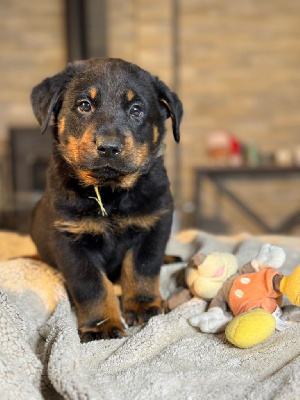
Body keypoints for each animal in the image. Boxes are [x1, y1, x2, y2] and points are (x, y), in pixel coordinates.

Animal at [29, 57, 183, 342]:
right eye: (84, 105)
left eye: (136, 110)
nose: (109, 147)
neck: (111, 193)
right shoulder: (70, 238)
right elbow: (91, 285)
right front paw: (102, 325)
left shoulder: (155, 223)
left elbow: (143, 267)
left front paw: (143, 305)